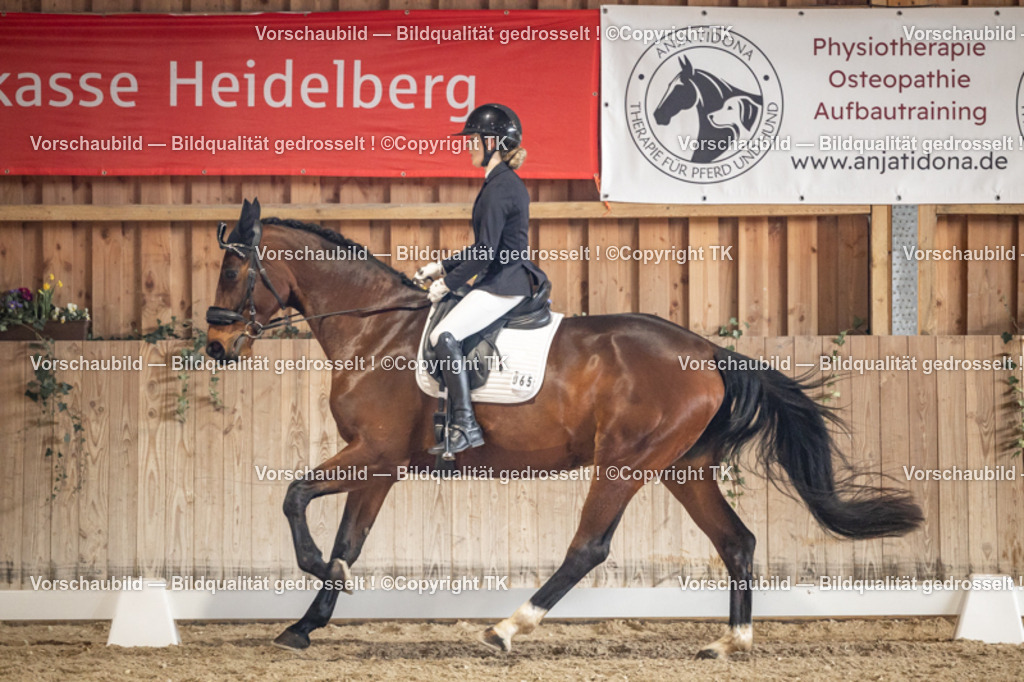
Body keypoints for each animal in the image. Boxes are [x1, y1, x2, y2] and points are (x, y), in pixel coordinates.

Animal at [205, 199, 922, 659]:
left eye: (234, 271)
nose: (215, 345)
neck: (375, 332)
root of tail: (709, 353)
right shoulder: (382, 464)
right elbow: (349, 541)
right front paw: (305, 623)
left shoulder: (373, 451)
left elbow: (295, 496)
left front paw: (311, 571)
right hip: (681, 468)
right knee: (737, 541)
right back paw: (729, 642)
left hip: (625, 464)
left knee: (589, 548)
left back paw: (506, 629)